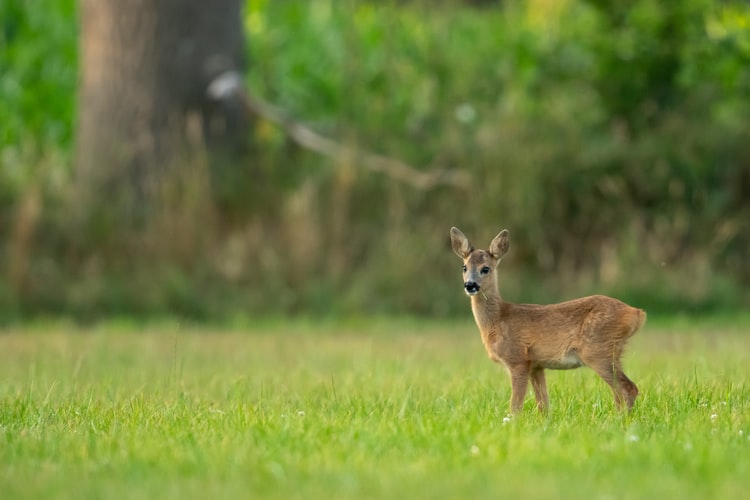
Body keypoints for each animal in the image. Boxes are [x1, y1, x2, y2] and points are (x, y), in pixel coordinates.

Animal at [452, 228, 648, 414]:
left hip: (598, 351)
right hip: (611, 351)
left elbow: (515, 406)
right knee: (619, 393)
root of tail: (637, 313)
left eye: (485, 268)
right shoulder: (536, 365)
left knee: (629, 388)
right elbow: (544, 406)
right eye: (464, 267)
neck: (498, 319)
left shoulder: (518, 359)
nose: (470, 285)